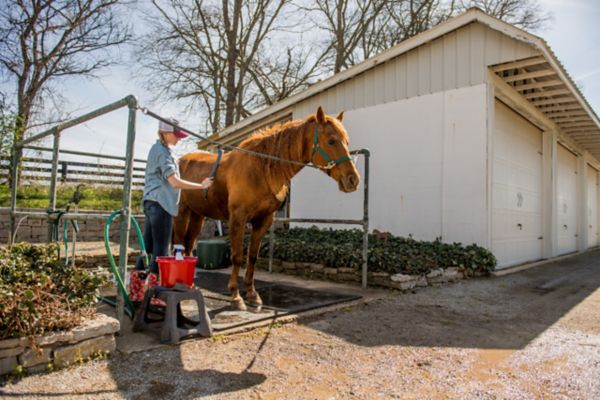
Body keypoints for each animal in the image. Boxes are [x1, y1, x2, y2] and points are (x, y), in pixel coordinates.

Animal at [173, 105, 360, 310]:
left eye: (347, 142)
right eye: (331, 141)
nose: (353, 180)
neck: (261, 169)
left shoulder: (263, 220)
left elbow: (252, 257)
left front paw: (252, 294)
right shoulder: (238, 219)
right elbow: (237, 256)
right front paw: (236, 296)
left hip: (197, 214)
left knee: (189, 244)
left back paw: (190, 283)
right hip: (181, 213)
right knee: (178, 242)